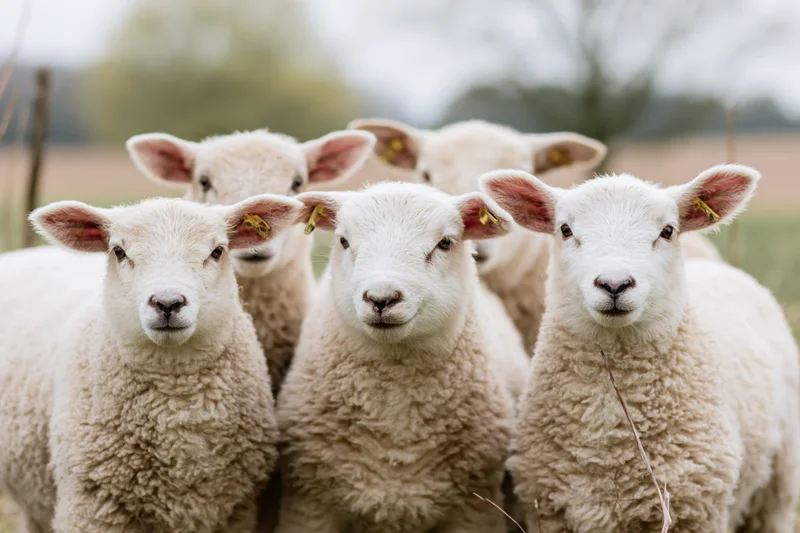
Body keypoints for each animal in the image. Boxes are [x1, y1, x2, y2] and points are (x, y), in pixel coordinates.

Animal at [0, 194, 305, 533]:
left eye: (217, 251)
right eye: (119, 251)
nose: (167, 303)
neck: (176, 390)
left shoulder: (233, 512)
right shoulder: (90, 505)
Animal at [480, 164, 800, 533]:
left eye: (668, 230)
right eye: (565, 229)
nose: (614, 284)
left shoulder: (695, 510)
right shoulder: (552, 512)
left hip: (776, 487)